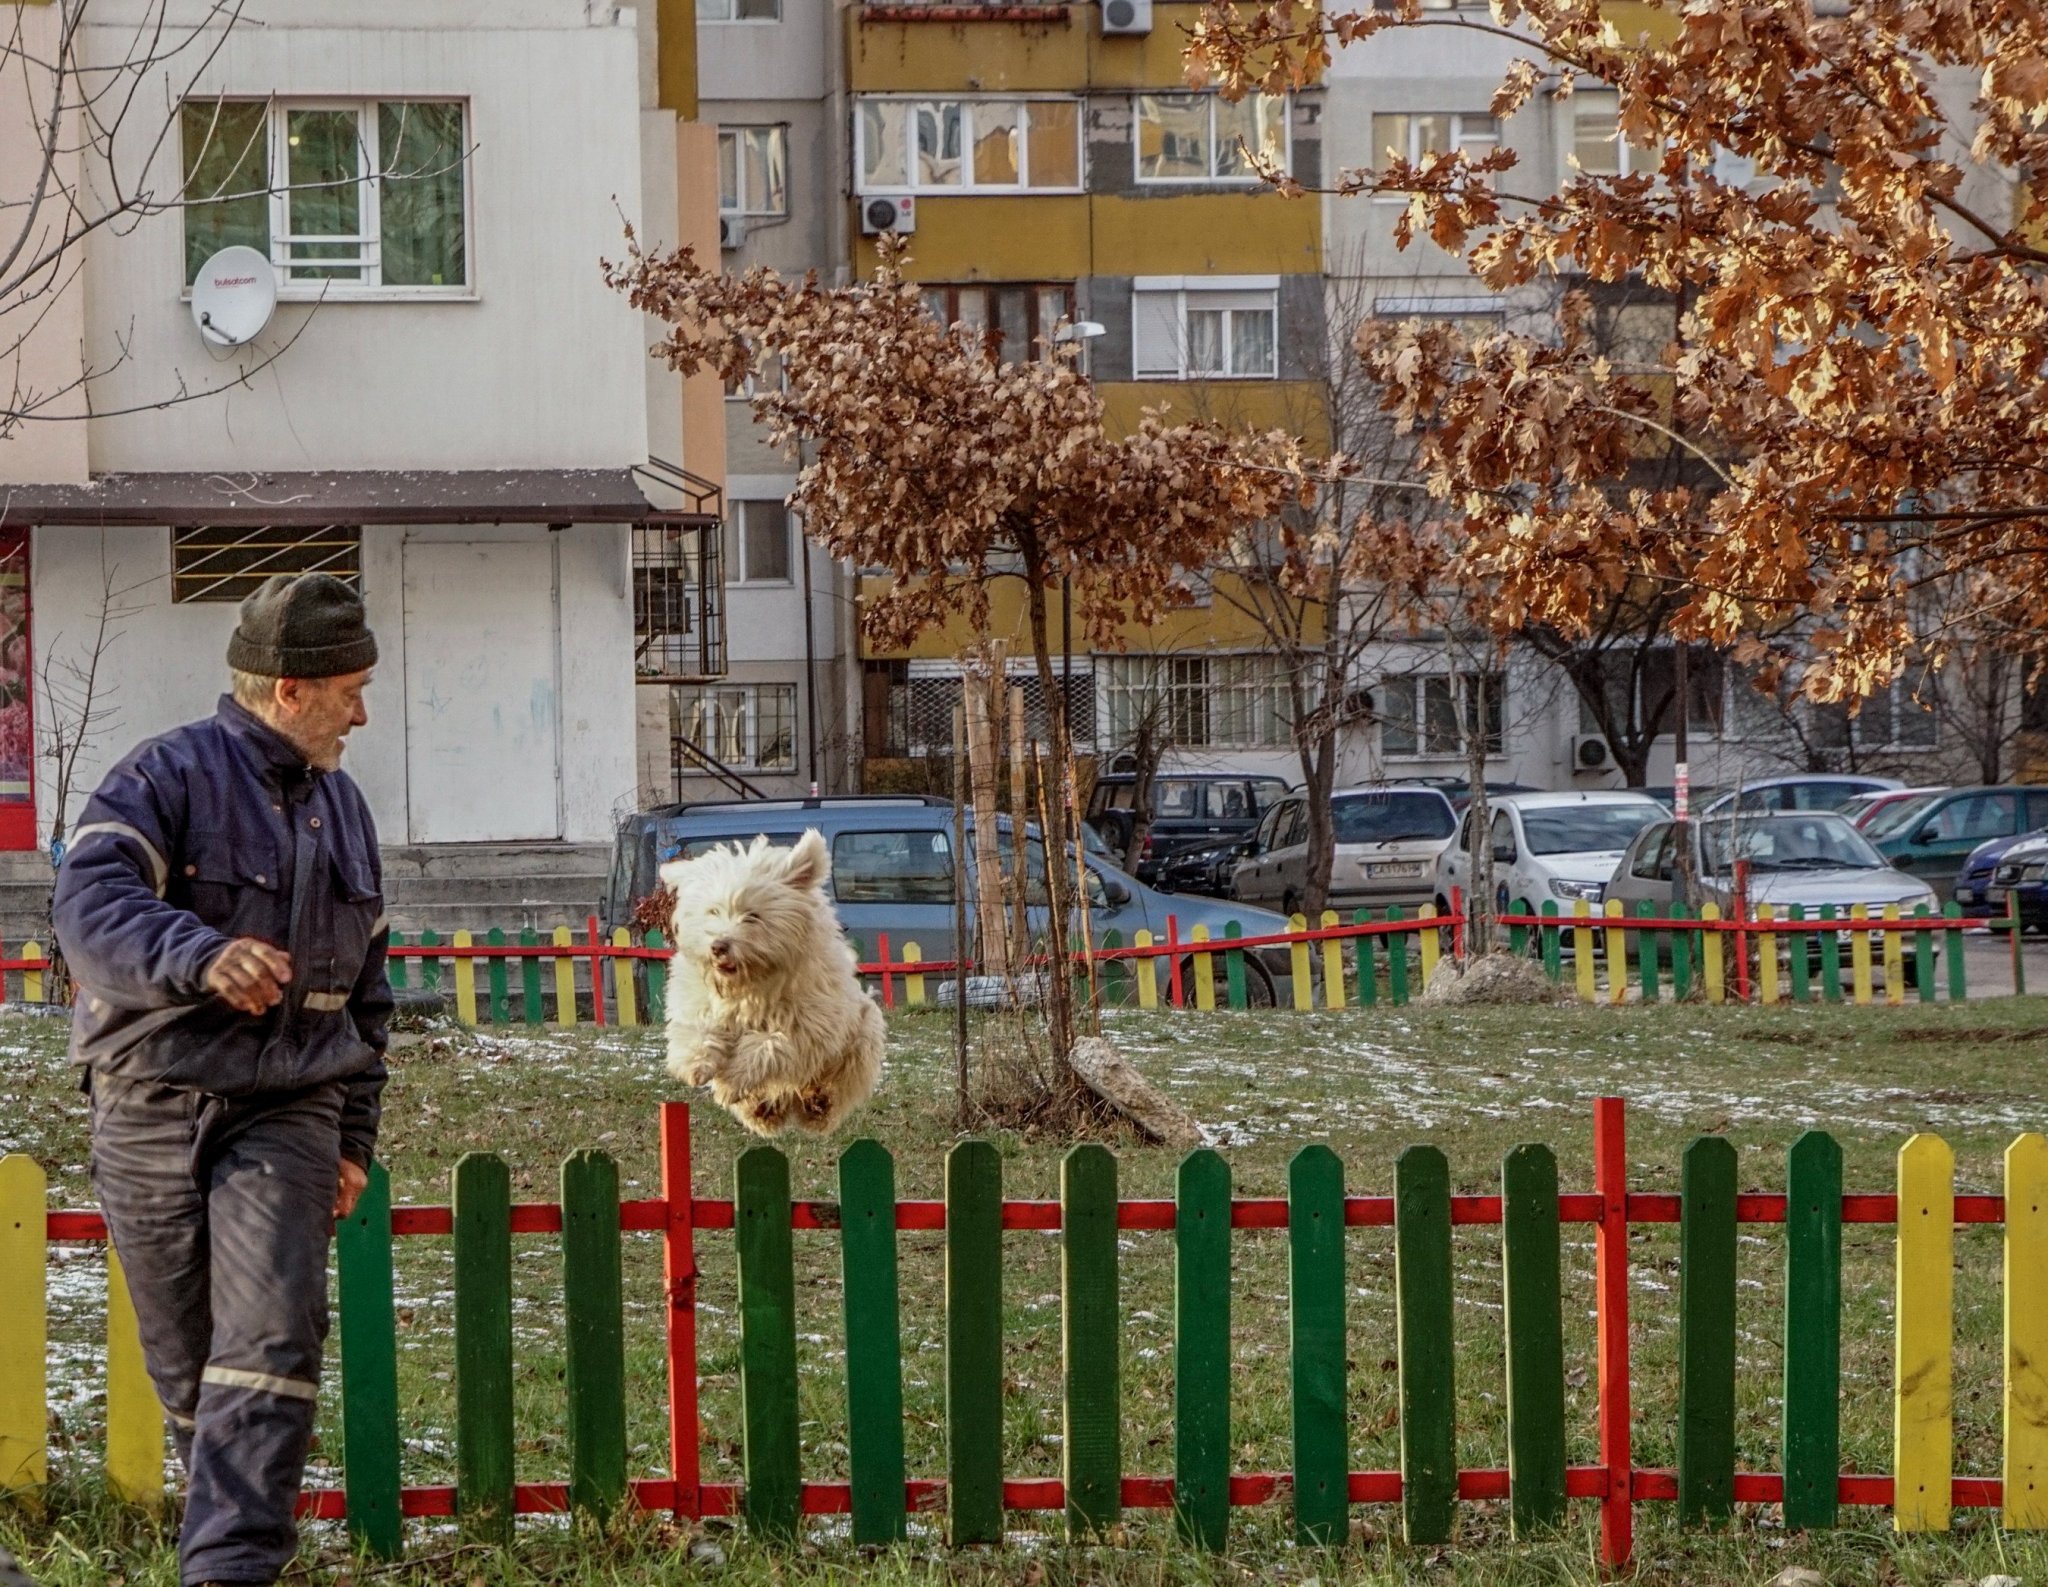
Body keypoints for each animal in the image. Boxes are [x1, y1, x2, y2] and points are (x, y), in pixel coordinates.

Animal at [655, 839, 880, 1138]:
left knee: (834, 1082)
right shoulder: (699, 998)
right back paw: (762, 1110)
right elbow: (699, 1026)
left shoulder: (808, 1025)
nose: (718, 946)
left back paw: (817, 1104)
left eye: (752, 916)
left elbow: (768, 1044)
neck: (750, 983)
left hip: (861, 1037)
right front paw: (696, 1063)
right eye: (713, 910)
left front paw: (733, 1079)